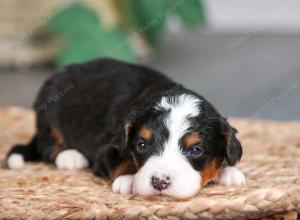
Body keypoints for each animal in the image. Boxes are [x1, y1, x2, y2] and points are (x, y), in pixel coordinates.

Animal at [5, 58, 246, 198]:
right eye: (142, 145)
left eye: (195, 150)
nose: (159, 182)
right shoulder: (106, 149)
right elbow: (119, 163)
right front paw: (128, 180)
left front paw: (229, 172)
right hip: (49, 111)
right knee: (46, 144)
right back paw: (70, 157)